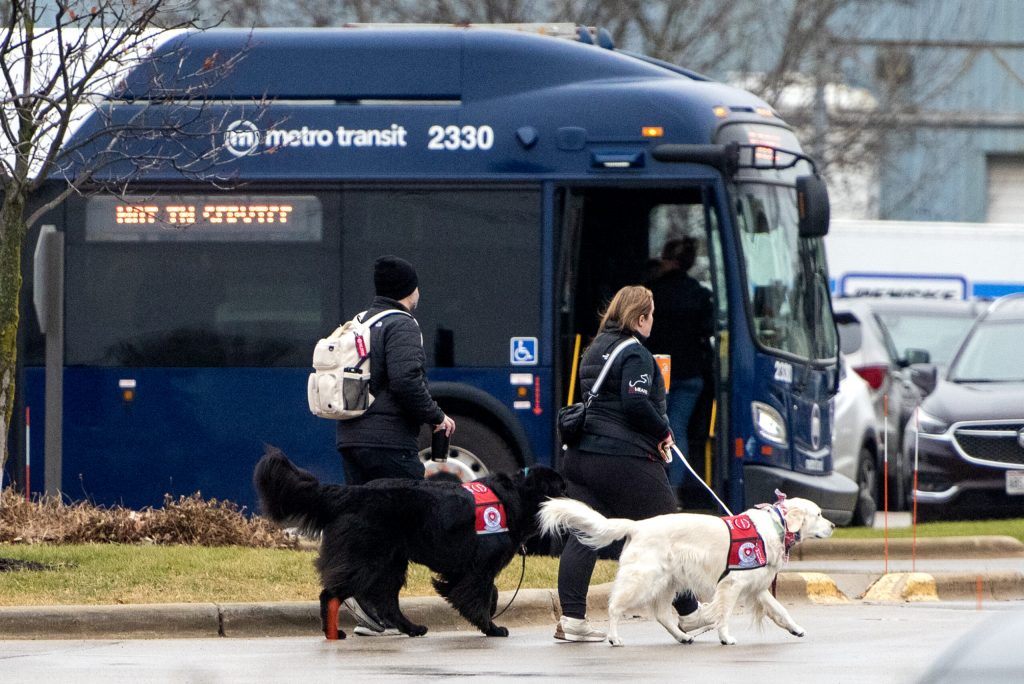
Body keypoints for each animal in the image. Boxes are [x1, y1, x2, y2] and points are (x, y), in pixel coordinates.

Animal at [251, 446, 565, 638]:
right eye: (560, 487)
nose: (570, 497)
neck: (519, 495)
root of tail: (349, 493)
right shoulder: (480, 567)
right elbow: (479, 595)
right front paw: (491, 627)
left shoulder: (466, 568)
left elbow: (486, 593)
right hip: (366, 559)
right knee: (333, 594)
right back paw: (334, 632)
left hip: (389, 563)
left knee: (386, 601)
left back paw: (411, 628)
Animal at [540, 491, 835, 647]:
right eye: (819, 514)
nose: (833, 526)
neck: (774, 527)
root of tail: (637, 525)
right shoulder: (731, 585)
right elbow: (724, 615)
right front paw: (725, 637)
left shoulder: (758, 588)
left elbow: (780, 610)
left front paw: (796, 629)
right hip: (643, 580)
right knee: (615, 607)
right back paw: (614, 638)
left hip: (668, 582)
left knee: (661, 614)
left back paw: (683, 637)